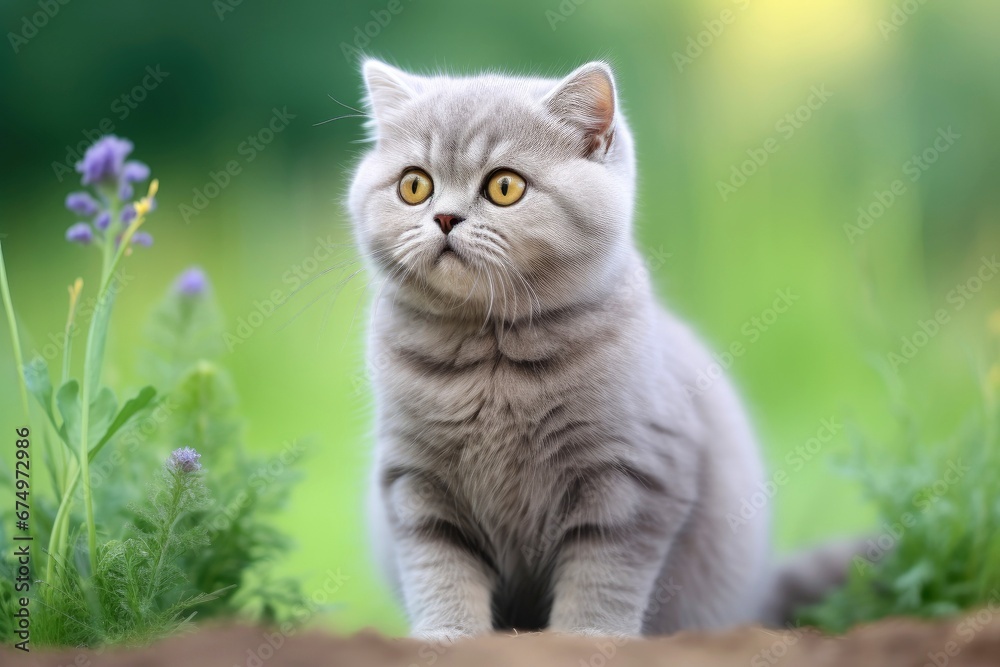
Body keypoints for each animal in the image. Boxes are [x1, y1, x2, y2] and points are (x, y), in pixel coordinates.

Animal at [350, 60, 844, 640]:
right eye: (414, 185)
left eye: (503, 186)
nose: (445, 218)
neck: (494, 361)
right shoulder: (414, 480)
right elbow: (438, 569)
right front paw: (448, 636)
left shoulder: (637, 478)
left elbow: (603, 578)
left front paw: (588, 637)